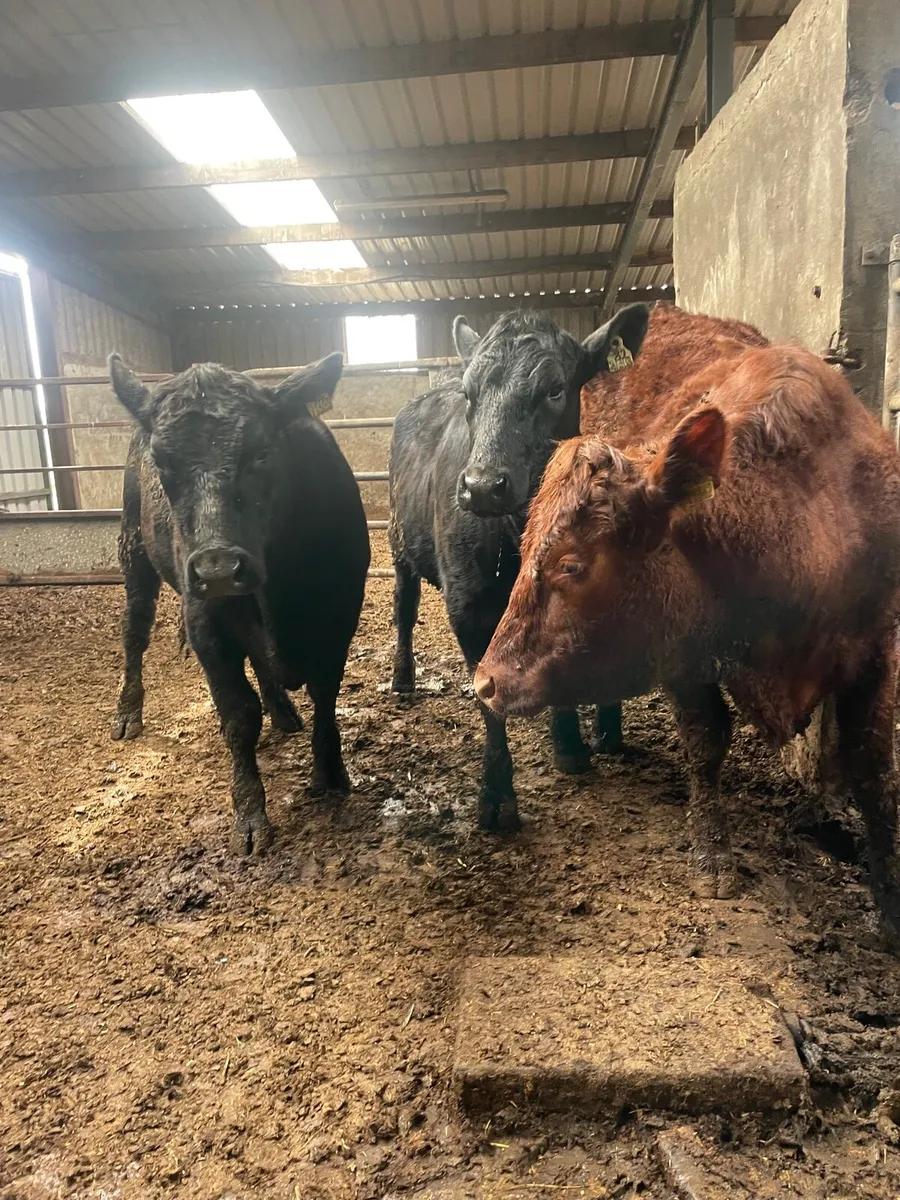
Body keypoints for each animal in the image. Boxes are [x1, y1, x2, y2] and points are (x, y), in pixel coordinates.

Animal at [108, 352, 370, 855]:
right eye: (163, 462)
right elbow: (238, 714)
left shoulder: (341, 612)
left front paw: (330, 773)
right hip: (134, 552)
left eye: (261, 452)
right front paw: (250, 815)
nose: (216, 570)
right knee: (136, 632)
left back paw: (282, 711)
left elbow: (325, 693)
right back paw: (128, 712)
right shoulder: (205, 622)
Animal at [388, 304, 649, 833]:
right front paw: (496, 797)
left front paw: (568, 744)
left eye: (554, 389)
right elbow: (486, 700)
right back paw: (403, 679)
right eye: (469, 393)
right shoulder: (467, 604)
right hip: (400, 542)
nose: (482, 485)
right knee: (404, 608)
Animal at [474, 333, 900, 943]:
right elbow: (706, 740)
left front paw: (890, 904)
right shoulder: (681, 651)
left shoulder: (880, 645)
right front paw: (713, 856)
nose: (485, 682)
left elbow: (873, 770)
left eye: (572, 565)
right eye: (525, 543)